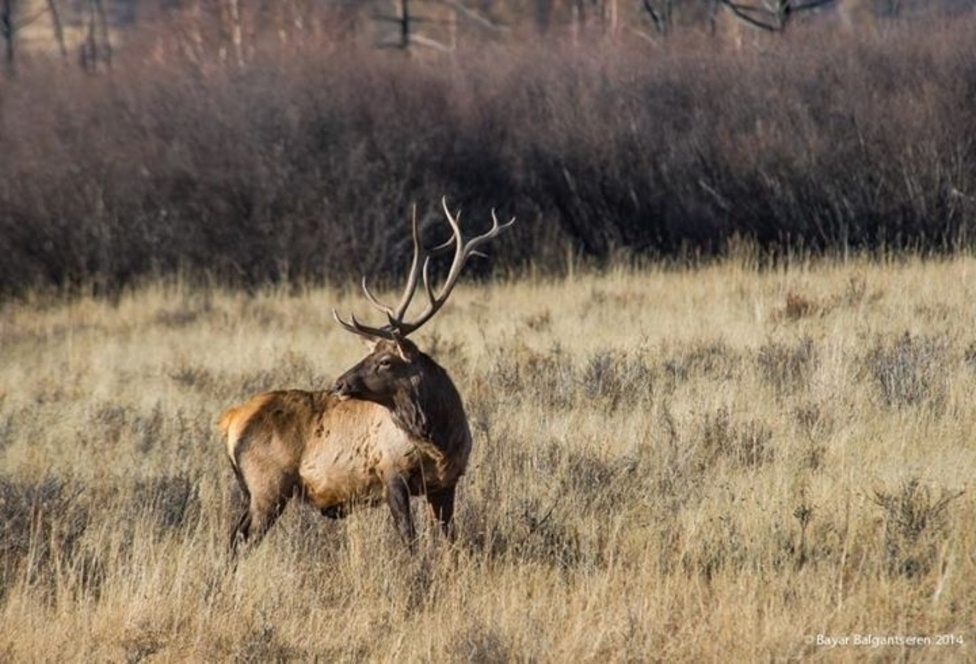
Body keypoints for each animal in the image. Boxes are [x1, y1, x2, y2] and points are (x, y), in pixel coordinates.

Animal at [218, 198, 514, 557]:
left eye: (385, 360)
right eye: (371, 355)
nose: (339, 383)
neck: (440, 437)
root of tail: (230, 420)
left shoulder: (446, 484)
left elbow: (449, 539)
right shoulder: (391, 472)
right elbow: (409, 538)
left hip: (256, 490)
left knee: (234, 536)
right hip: (267, 484)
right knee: (239, 537)